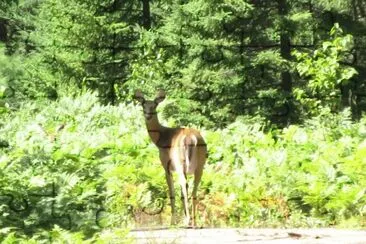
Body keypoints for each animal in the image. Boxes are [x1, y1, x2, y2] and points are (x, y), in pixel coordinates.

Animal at [135, 89, 209, 227]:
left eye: (154, 106)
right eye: (143, 105)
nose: (148, 115)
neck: (160, 139)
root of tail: (192, 139)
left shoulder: (166, 165)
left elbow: (172, 191)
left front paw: (173, 221)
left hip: (179, 162)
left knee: (185, 185)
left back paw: (187, 221)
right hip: (200, 165)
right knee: (193, 189)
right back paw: (194, 222)